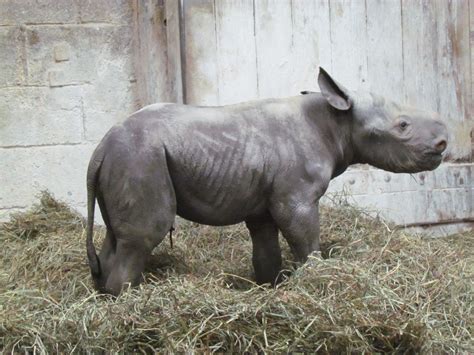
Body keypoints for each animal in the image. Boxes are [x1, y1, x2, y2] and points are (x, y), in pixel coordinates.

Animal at [86, 68, 448, 296]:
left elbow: (265, 250)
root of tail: (99, 148)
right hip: (140, 158)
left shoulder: (262, 202)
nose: (444, 142)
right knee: (144, 235)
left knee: (117, 237)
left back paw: (104, 297)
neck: (337, 121)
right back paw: (129, 303)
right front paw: (316, 277)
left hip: (125, 160)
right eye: (403, 126)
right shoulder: (296, 197)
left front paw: (271, 287)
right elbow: (305, 240)